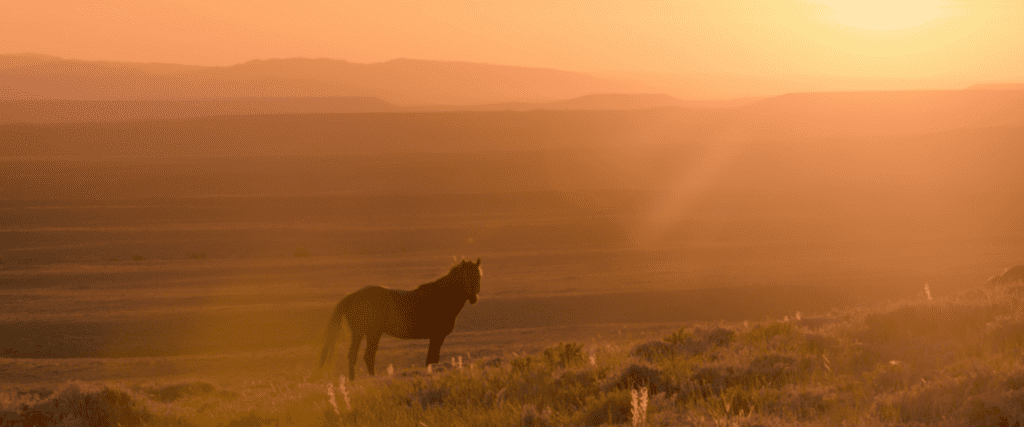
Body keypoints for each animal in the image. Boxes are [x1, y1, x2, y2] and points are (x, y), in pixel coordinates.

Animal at [317, 258, 481, 376]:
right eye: (465, 277)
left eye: (479, 276)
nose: (474, 298)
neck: (441, 297)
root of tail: (351, 296)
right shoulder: (437, 337)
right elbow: (432, 359)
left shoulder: (436, 338)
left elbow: (431, 359)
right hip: (363, 332)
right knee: (357, 356)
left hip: (370, 333)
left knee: (364, 356)